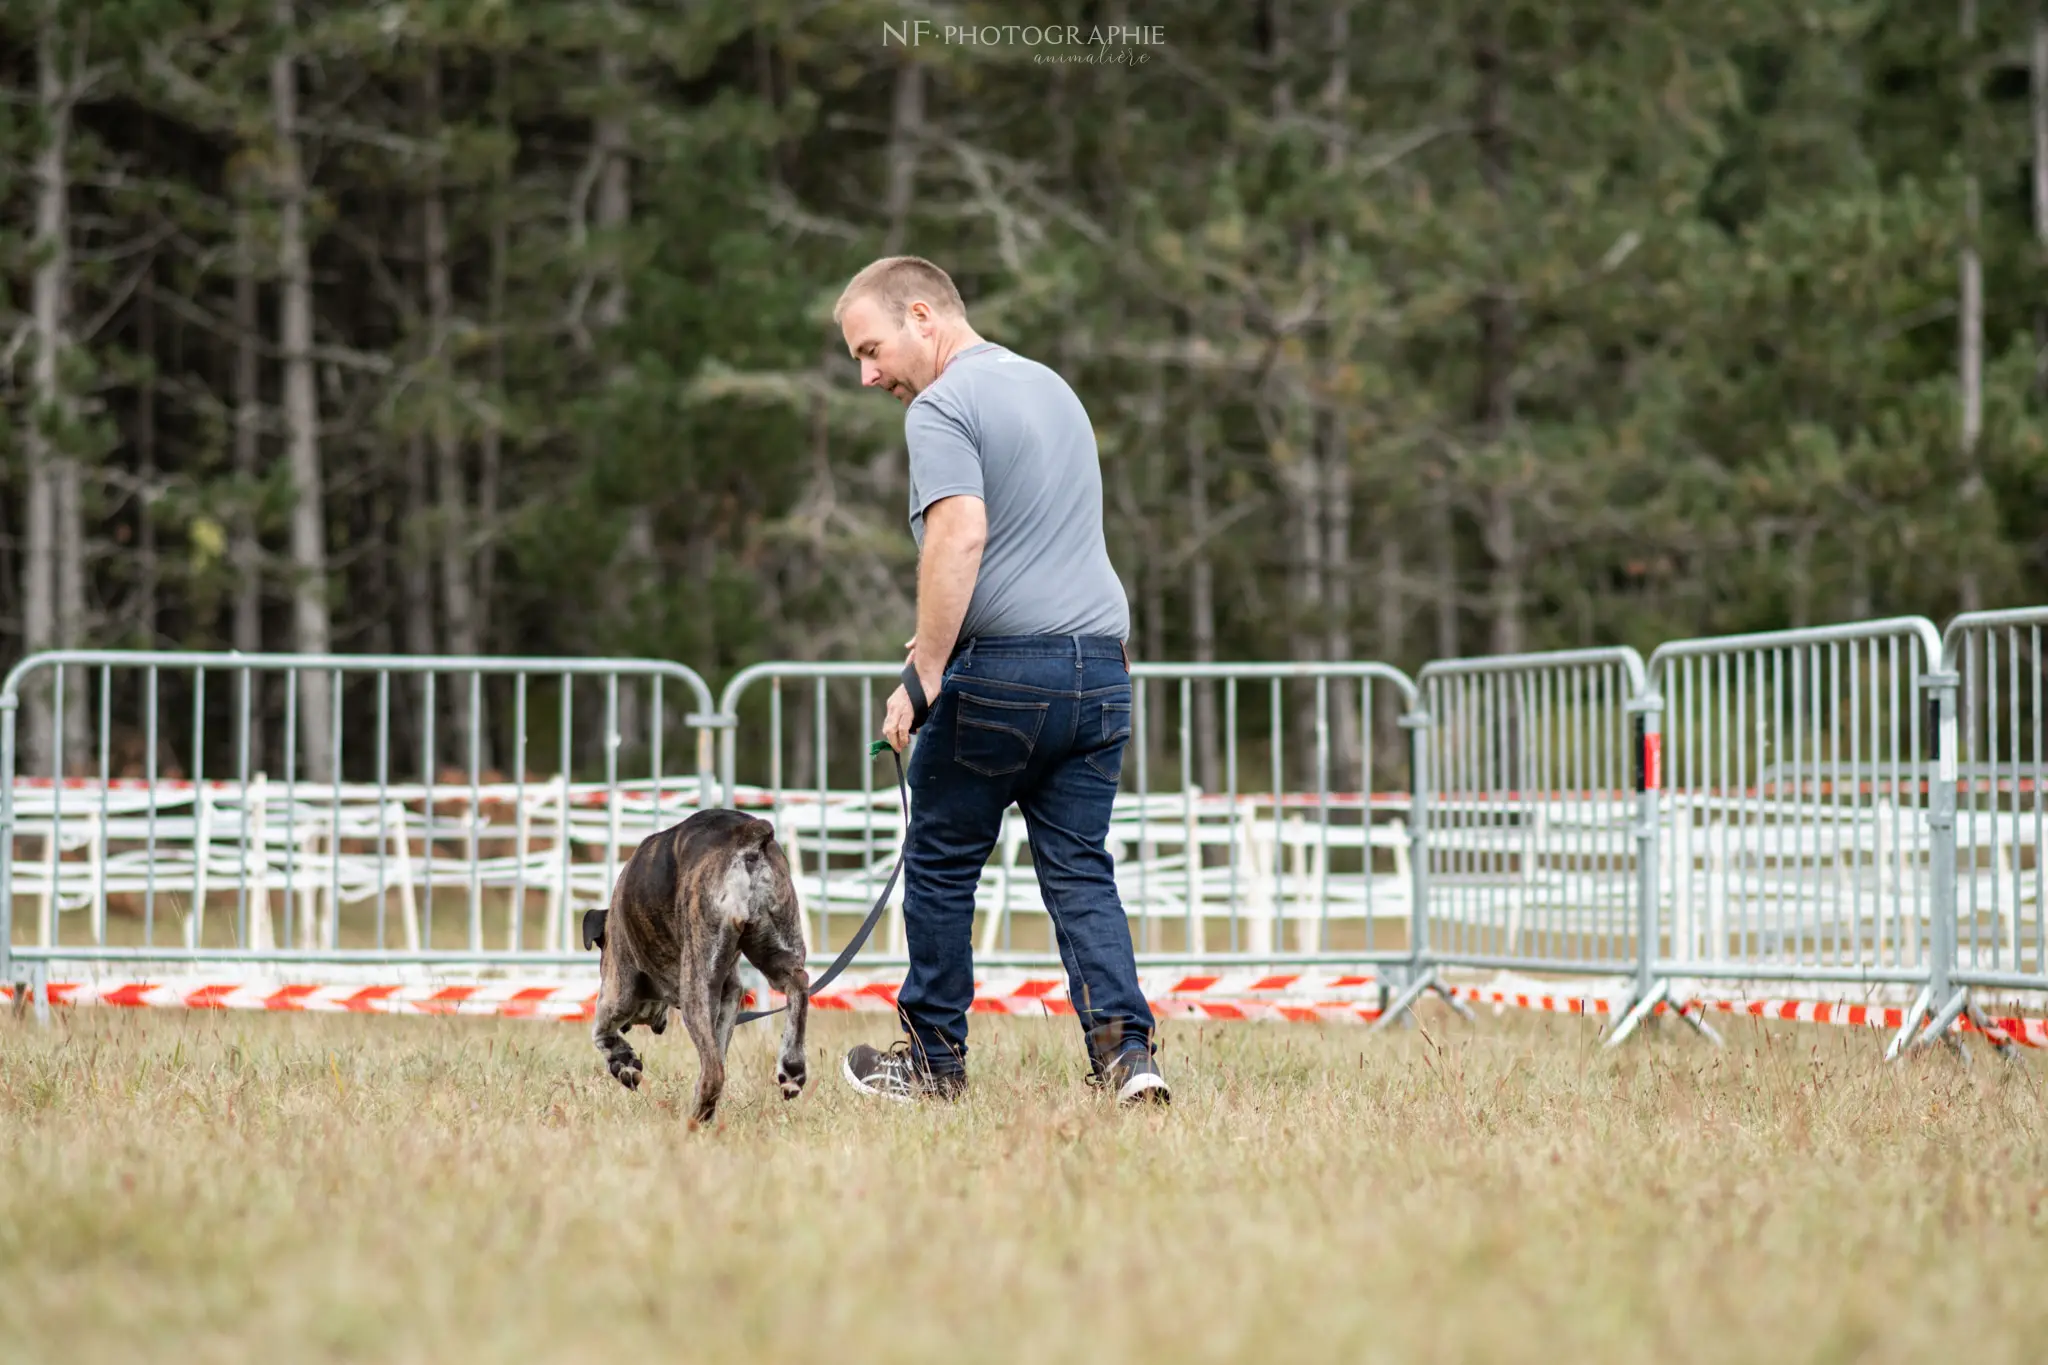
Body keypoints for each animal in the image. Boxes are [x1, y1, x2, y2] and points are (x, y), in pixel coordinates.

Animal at [581, 810, 811, 1121]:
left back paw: (697, 1116)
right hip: (776, 949)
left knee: (714, 1073)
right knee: (799, 985)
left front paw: (622, 1061)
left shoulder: (619, 988)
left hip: (694, 989)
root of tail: (748, 834)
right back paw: (791, 1067)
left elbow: (600, 1030)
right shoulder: (730, 996)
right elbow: (719, 1048)